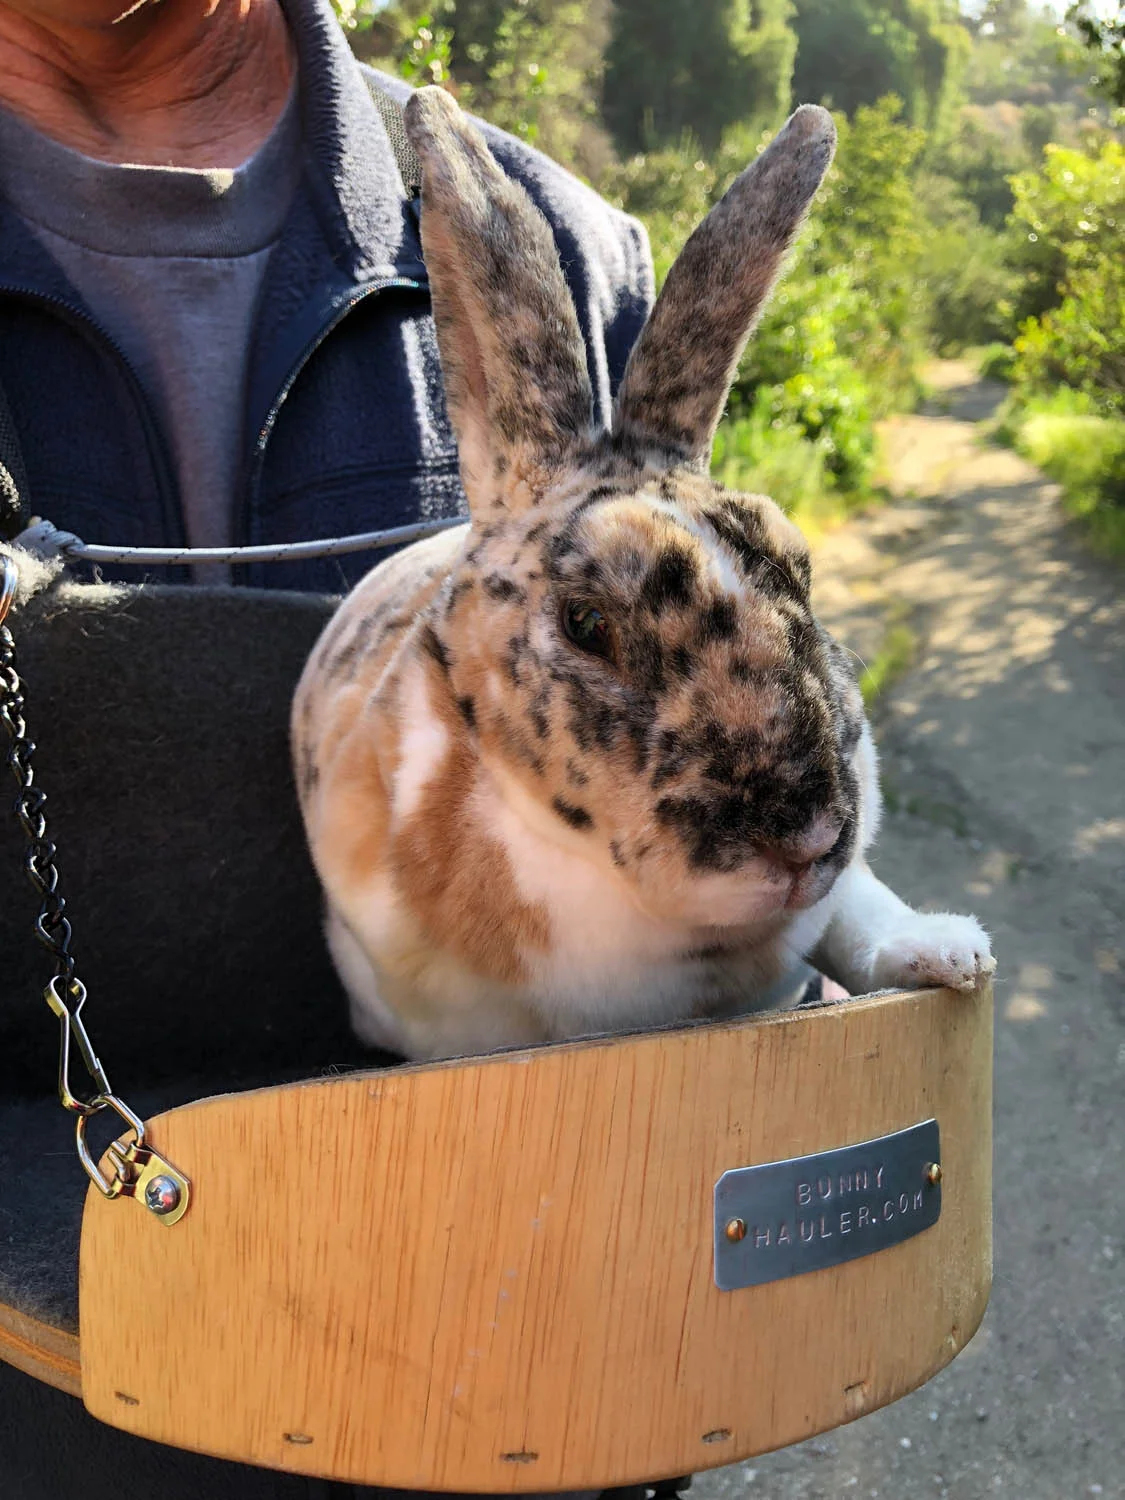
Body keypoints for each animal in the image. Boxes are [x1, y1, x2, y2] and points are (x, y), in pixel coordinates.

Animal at [292, 86, 995, 1063]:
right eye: (587, 622)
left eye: (801, 573)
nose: (805, 837)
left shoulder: (836, 901)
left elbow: (857, 911)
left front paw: (948, 955)